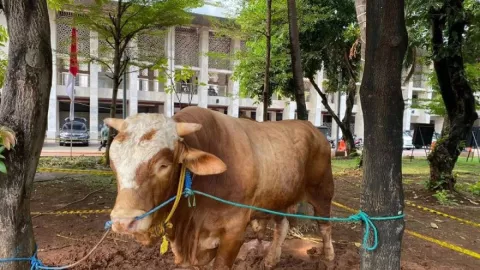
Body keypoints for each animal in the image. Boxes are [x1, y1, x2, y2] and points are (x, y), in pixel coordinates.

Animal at [107, 106, 336, 268]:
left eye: (163, 165)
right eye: (113, 162)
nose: (123, 222)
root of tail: (312, 128)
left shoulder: (234, 232)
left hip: (322, 190)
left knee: (325, 224)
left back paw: (329, 256)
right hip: (278, 196)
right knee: (282, 226)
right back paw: (271, 259)